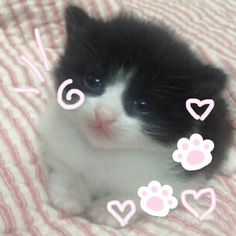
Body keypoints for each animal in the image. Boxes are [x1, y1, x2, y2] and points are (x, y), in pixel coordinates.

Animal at [38, 6, 232, 227]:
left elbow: (145, 193)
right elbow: (63, 165)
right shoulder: (51, 134)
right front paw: (70, 193)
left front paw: (109, 208)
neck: (104, 152)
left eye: (143, 105)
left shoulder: (180, 177)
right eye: (94, 81)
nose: (104, 114)